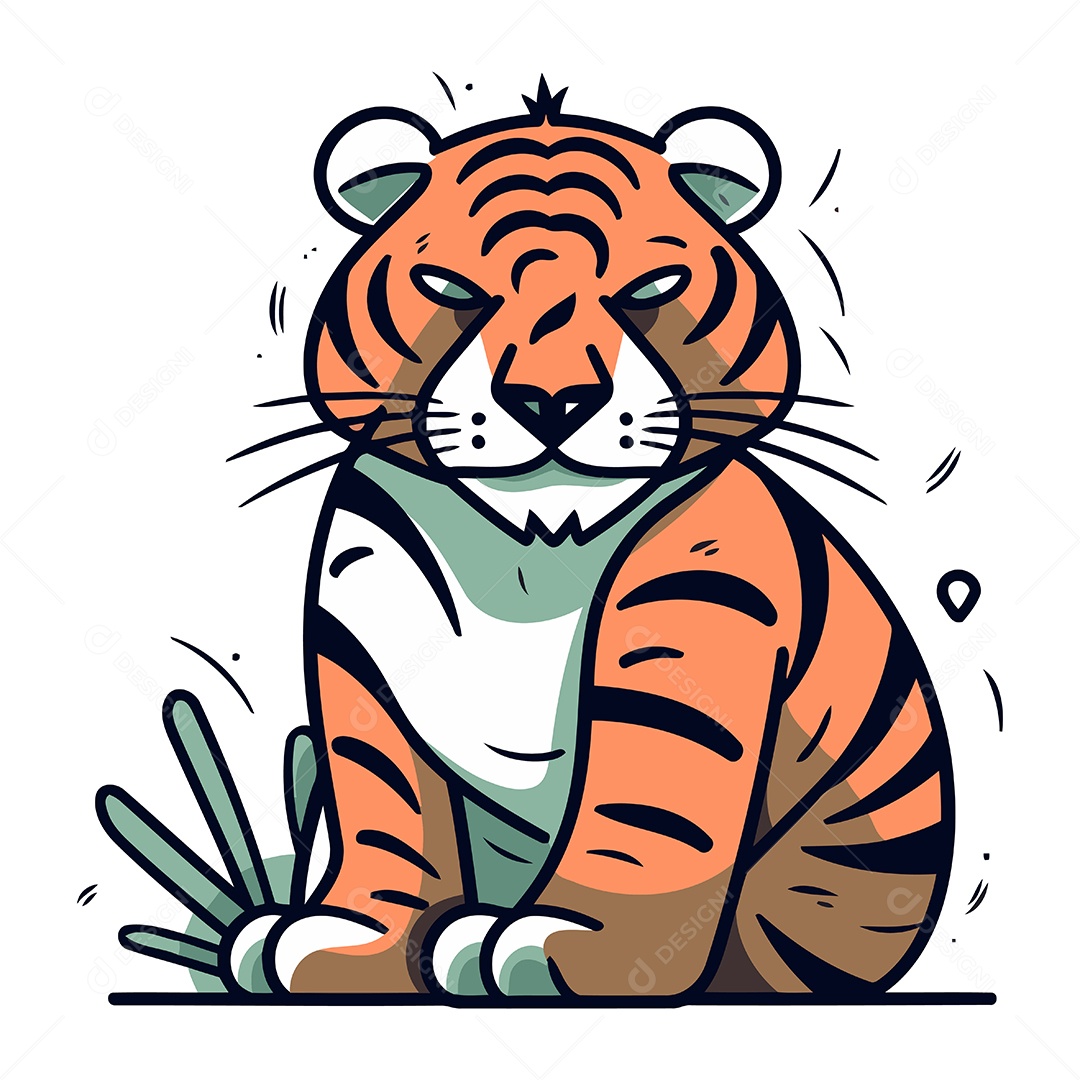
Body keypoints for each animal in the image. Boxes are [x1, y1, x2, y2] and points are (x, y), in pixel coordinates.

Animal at [230, 79, 953, 999]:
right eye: (450, 288)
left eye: (649, 287)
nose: (552, 398)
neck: (531, 552)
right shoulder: (359, 651)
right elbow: (384, 806)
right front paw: (354, 942)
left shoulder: (691, 636)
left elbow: (644, 813)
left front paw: (564, 948)